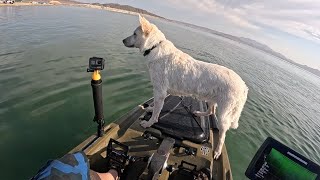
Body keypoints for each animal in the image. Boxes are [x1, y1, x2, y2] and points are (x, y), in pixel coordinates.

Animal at [122, 15, 248, 159]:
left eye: (134, 34)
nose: (123, 40)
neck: (154, 47)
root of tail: (244, 86)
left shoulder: (160, 91)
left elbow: (155, 114)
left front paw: (148, 123)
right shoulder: (160, 93)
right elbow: (156, 108)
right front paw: (151, 109)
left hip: (223, 114)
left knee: (222, 134)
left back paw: (217, 151)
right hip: (211, 99)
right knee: (210, 111)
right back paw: (198, 113)